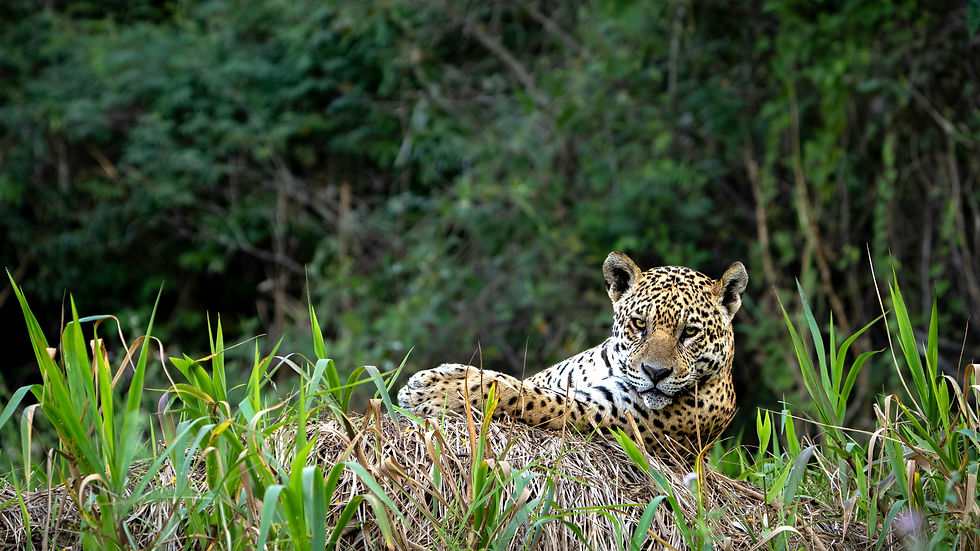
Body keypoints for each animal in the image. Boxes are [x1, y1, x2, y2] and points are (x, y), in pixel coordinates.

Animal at [397, 251, 748, 457]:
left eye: (689, 331)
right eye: (639, 324)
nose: (655, 372)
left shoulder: (603, 415)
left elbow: (525, 395)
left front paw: (434, 390)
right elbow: (514, 380)